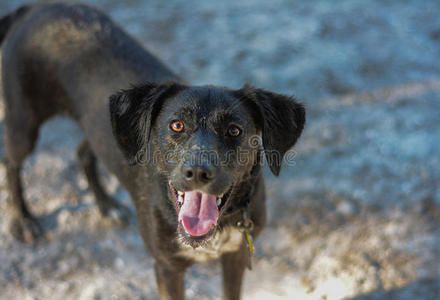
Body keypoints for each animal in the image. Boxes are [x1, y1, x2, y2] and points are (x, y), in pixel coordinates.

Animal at [0, 2, 304, 300]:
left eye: (234, 130)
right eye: (177, 125)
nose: (197, 172)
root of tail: (34, 9)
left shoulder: (235, 257)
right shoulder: (167, 267)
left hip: (106, 127)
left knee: (83, 152)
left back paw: (106, 204)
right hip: (24, 123)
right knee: (11, 162)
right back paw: (23, 220)